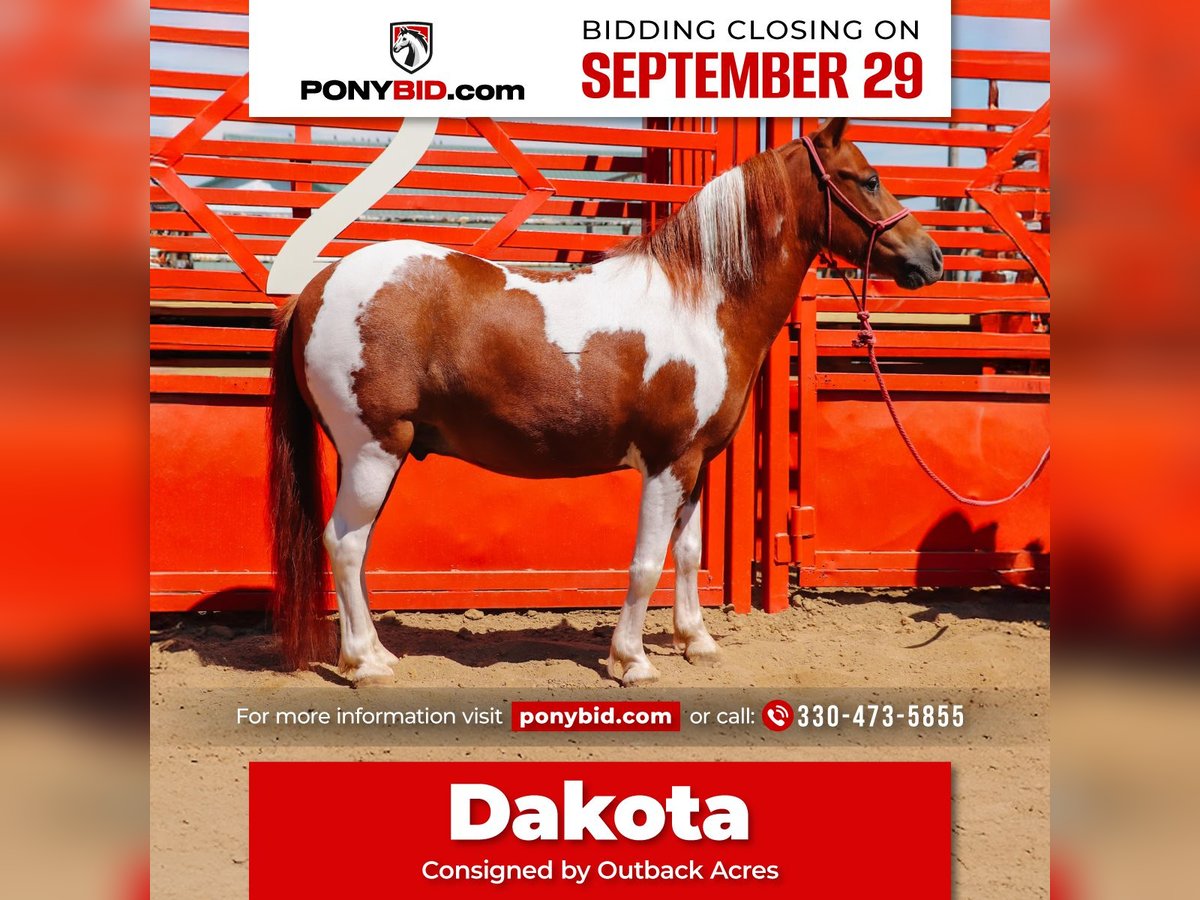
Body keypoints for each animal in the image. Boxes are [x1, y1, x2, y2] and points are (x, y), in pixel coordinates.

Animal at [268, 118, 943, 686]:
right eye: (868, 179)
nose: (931, 258)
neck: (701, 303)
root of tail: (315, 287)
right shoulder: (667, 463)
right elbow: (645, 563)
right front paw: (632, 661)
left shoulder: (695, 465)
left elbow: (687, 553)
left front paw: (696, 641)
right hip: (374, 450)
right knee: (345, 544)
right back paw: (364, 665)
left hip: (379, 456)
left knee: (357, 547)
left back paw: (379, 653)